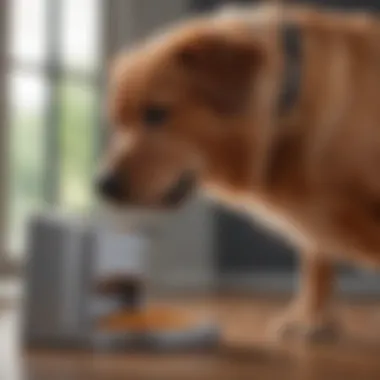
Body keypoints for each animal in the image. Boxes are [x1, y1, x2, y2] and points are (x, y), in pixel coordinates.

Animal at [95, 4, 380, 340]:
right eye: (118, 122)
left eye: (155, 113)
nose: (102, 185)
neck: (288, 104)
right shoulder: (316, 220)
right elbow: (316, 260)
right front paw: (311, 318)